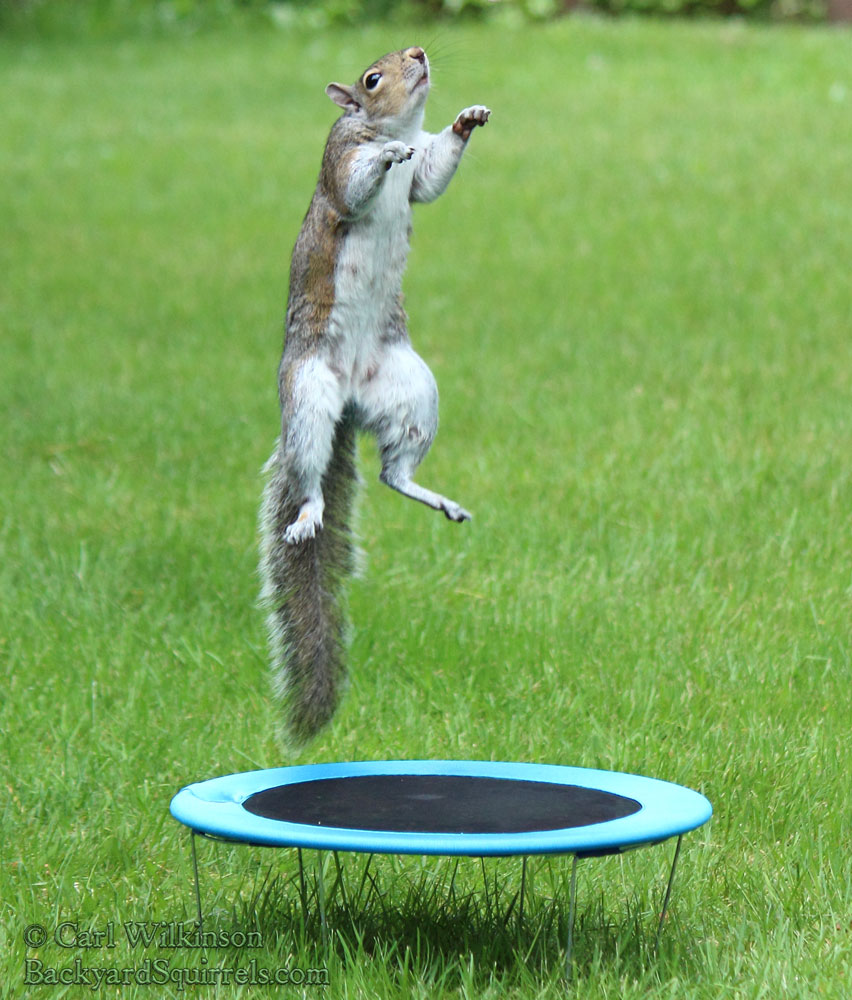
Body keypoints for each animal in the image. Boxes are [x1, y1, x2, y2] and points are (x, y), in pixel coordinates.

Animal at [259, 46, 490, 745]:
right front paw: (385, 156)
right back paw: (308, 513)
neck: (395, 126)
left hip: (411, 392)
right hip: (309, 397)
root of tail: (350, 403)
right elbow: (357, 184)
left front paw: (467, 118)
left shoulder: (422, 177)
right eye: (370, 78)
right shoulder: (339, 159)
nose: (418, 52)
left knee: (394, 473)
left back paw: (433, 495)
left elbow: (432, 174)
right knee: (310, 475)